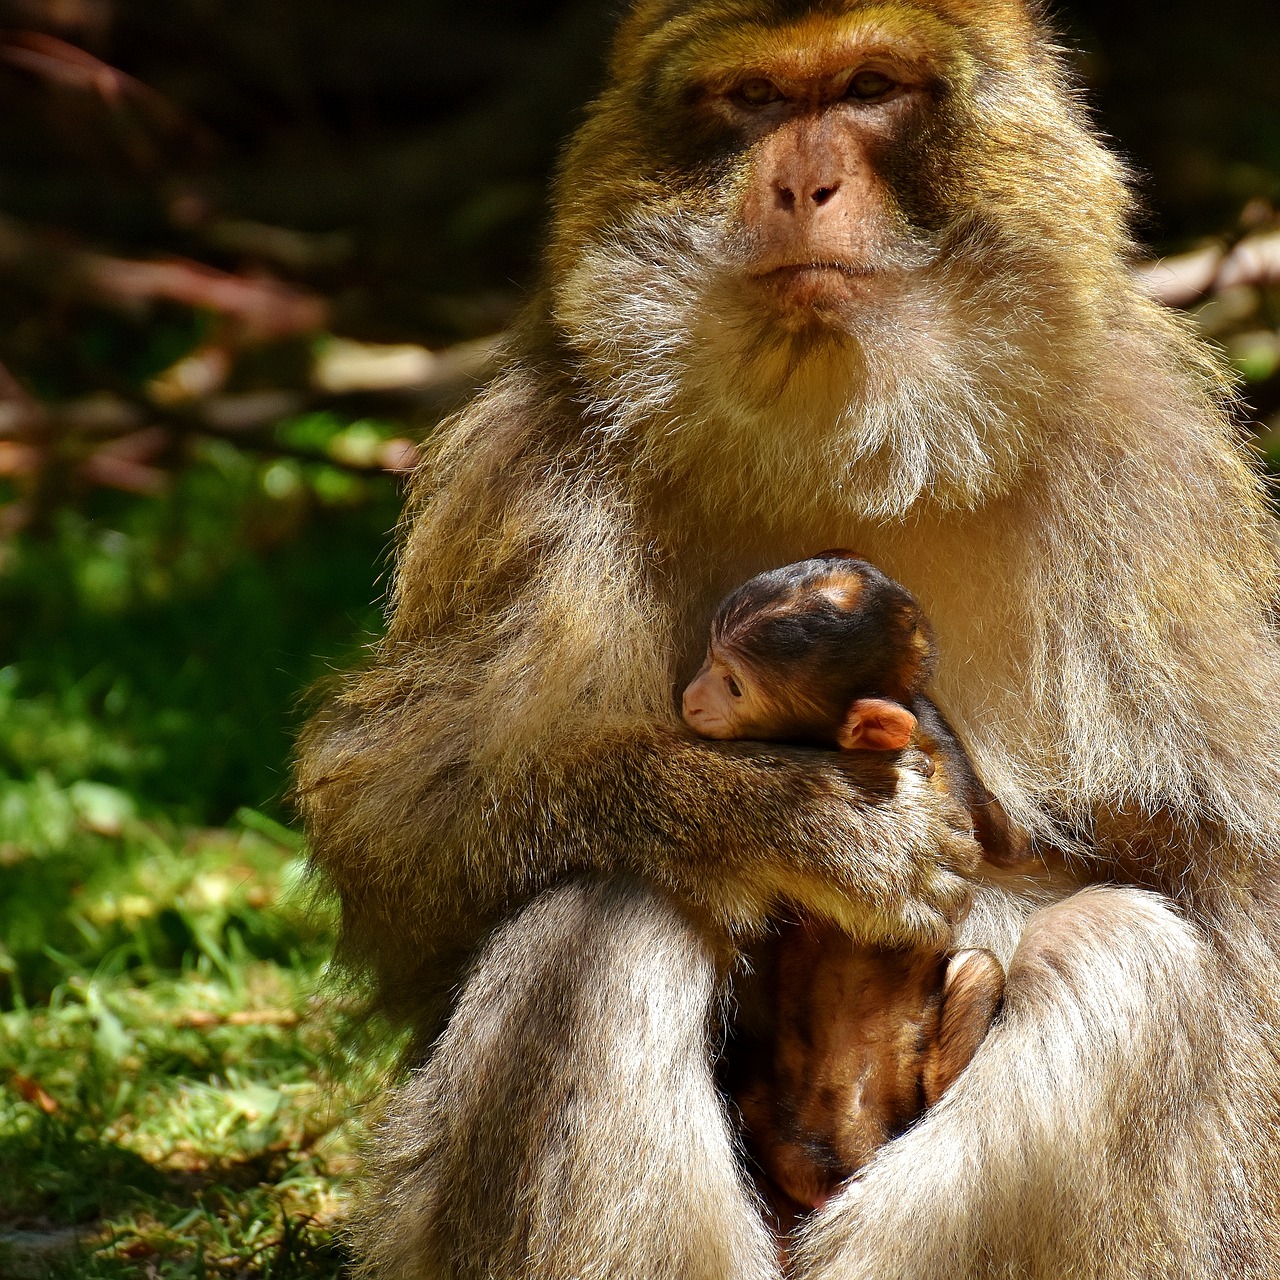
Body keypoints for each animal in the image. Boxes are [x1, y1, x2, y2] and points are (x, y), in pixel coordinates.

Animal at [680, 555, 1029, 1213]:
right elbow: (1007, 841)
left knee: (977, 971)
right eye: (709, 657)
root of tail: (849, 1152)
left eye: (734, 686)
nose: (690, 697)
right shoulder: (934, 722)